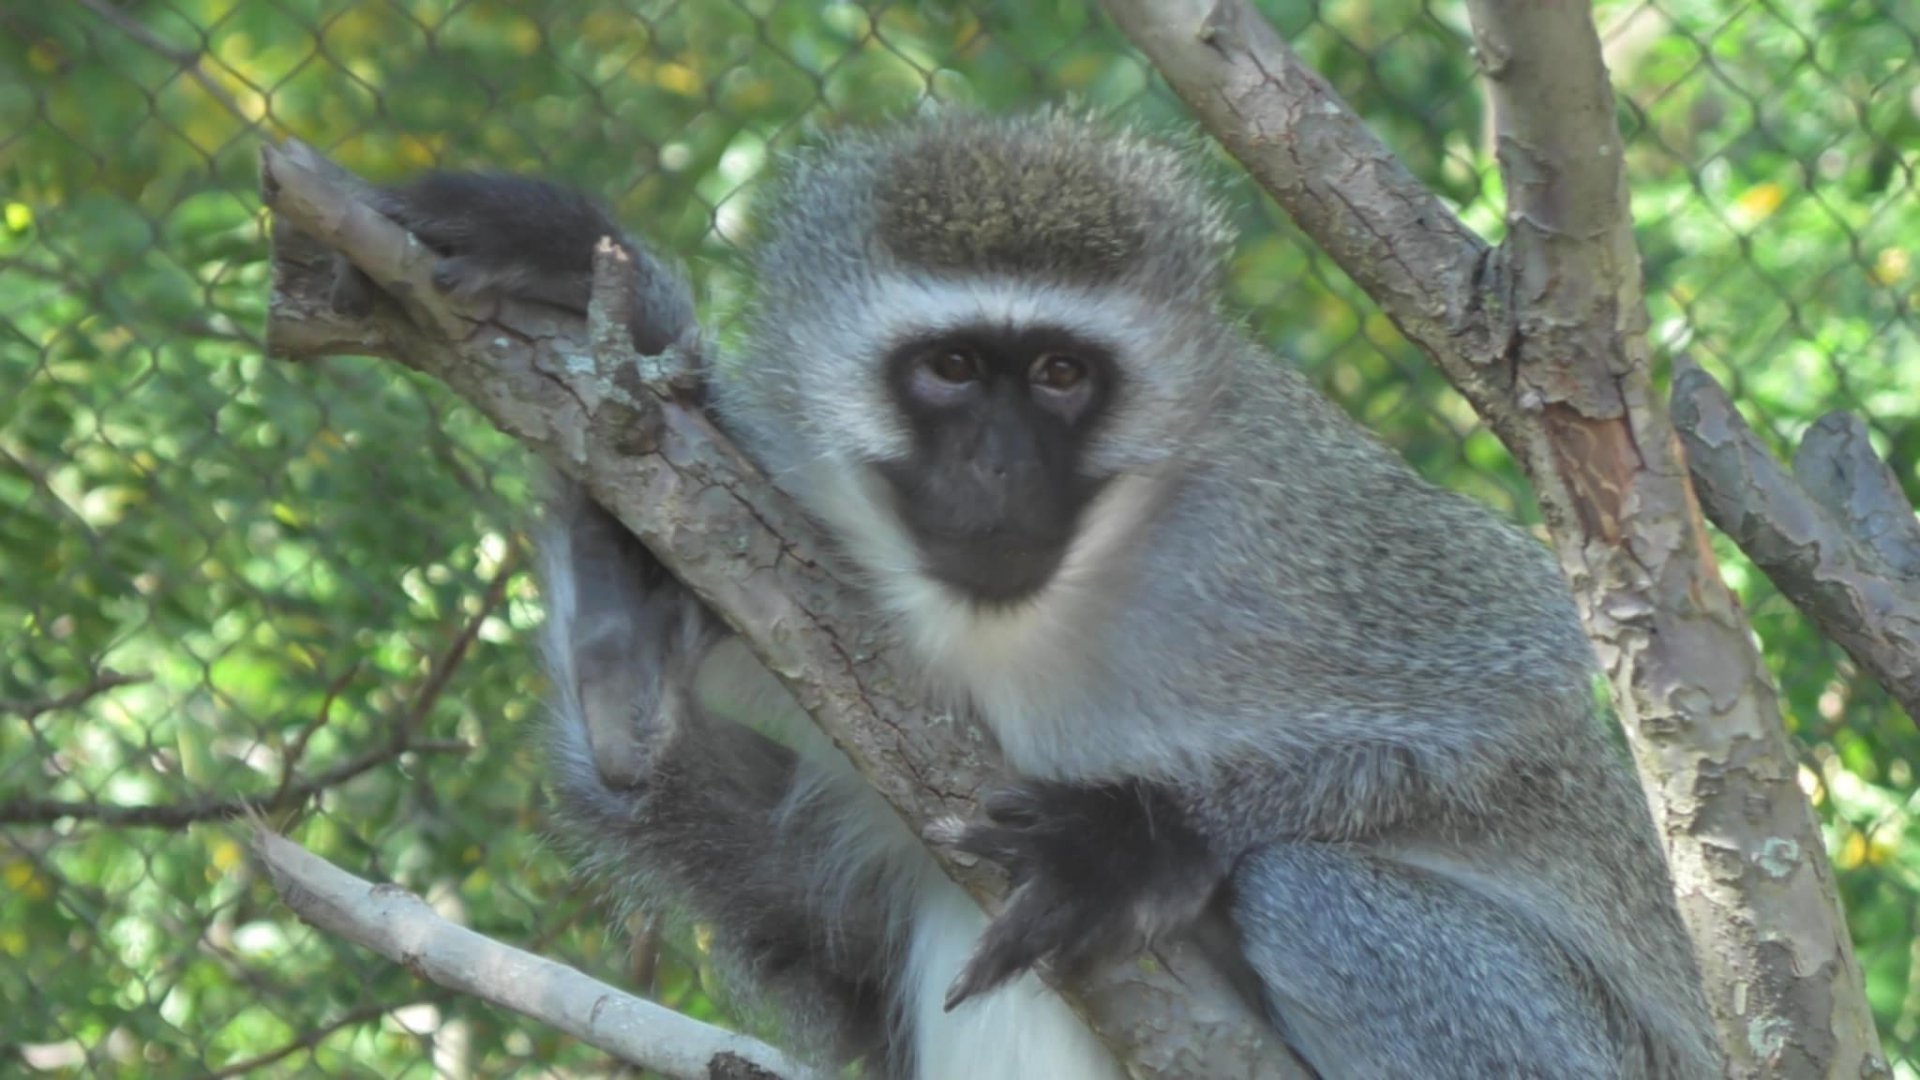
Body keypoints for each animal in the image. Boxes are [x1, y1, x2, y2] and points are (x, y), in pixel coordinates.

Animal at [334, 109, 1726, 1078]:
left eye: (1060, 374)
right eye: (952, 369)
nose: (998, 467)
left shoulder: (1290, 523)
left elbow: (1522, 672)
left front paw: (1142, 844)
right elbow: (820, 904)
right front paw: (599, 295)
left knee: (1315, 895)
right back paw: (618, 652)